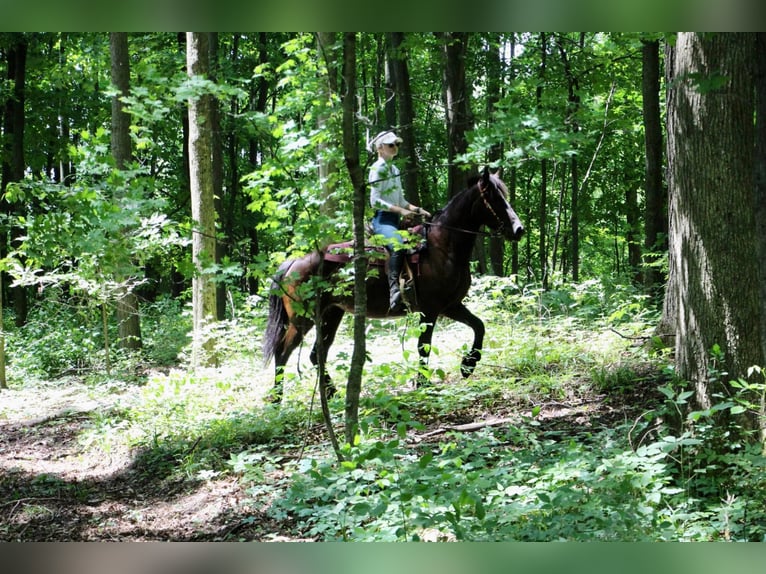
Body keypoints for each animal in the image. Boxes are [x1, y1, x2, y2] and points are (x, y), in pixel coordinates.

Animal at [262, 165, 520, 400]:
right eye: (494, 198)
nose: (518, 229)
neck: (442, 247)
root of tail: (293, 264)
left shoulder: (451, 306)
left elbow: (479, 326)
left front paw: (468, 364)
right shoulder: (430, 309)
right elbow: (424, 345)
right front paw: (423, 384)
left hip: (331, 314)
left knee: (317, 354)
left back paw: (332, 393)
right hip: (302, 319)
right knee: (283, 352)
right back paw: (277, 398)